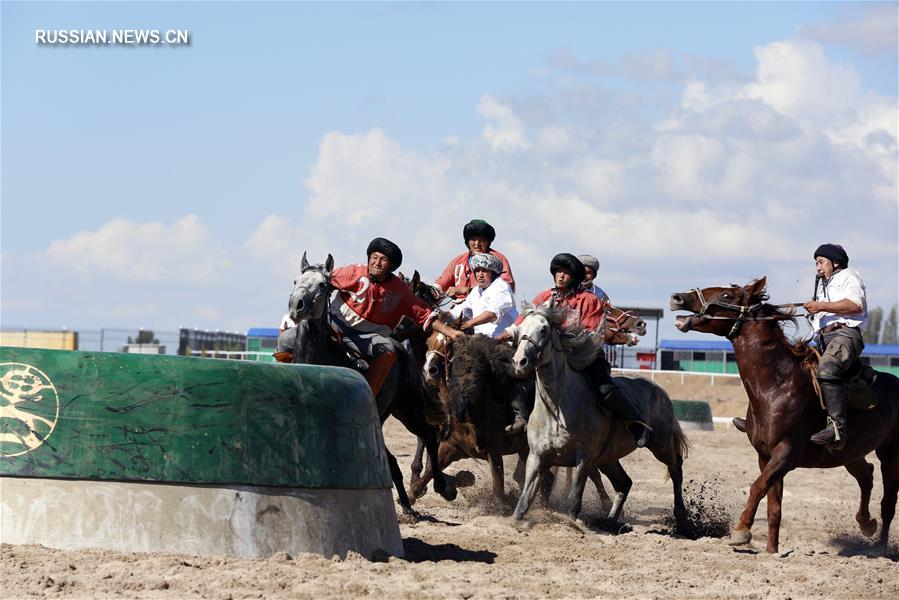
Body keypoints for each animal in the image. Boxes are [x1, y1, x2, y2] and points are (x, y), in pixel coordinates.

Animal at [282, 253, 458, 516]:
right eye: (295, 281)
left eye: (323, 284)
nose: (297, 304)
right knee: (398, 457)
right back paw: (408, 505)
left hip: (409, 410)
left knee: (429, 435)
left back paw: (437, 488)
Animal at [510, 302, 692, 528]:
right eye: (519, 331)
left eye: (543, 329)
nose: (520, 361)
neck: (557, 409)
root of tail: (659, 390)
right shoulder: (537, 459)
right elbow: (524, 501)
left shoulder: (584, 460)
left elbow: (573, 500)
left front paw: (574, 523)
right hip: (608, 458)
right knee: (624, 483)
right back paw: (610, 522)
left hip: (661, 444)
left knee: (676, 468)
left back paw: (681, 516)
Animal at [672, 278, 896, 552]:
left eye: (726, 294)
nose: (678, 297)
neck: (776, 386)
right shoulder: (766, 456)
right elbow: (773, 505)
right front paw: (772, 550)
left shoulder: (785, 453)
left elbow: (757, 486)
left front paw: (741, 531)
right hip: (850, 452)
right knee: (866, 476)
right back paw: (866, 524)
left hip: (890, 453)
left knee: (888, 502)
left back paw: (881, 546)